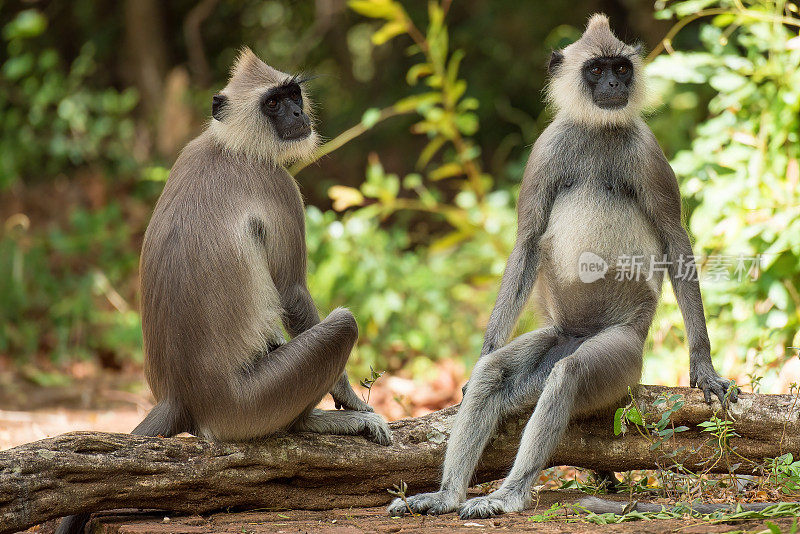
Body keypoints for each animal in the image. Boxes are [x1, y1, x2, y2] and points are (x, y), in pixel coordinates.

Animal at [57, 47, 390, 534]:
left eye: (292, 95)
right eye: (272, 104)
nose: (297, 114)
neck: (230, 144)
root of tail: (183, 396)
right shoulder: (277, 184)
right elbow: (292, 292)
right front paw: (351, 403)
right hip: (248, 404)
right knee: (342, 325)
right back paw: (311, 423)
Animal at [388, 13, 736, 524]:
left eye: (620, 67)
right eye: (596, 70)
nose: (613, 84)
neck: (597, 129)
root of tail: (578, 333)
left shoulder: (648, 153)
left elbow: (674, 238)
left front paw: (704, 367)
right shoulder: (547, 147)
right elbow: (528, 238)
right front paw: (480, 356)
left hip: (623, 353)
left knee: (569, 374)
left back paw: (507, 495)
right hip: (555, 335)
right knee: (495, 373)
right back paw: (449, 494)